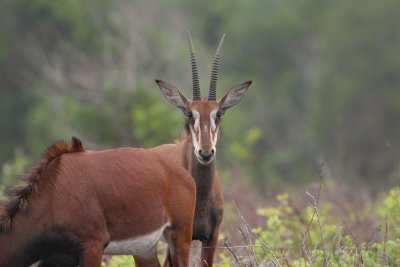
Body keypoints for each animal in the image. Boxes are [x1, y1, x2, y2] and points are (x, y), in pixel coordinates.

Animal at [0, 137, 197, 266]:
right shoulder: (58, 255)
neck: (52, 195)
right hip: (144, 249)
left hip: (180, 235)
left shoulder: (93, 245)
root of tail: (186, 175)